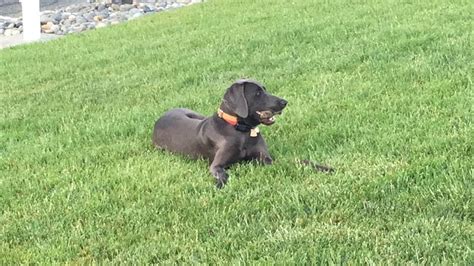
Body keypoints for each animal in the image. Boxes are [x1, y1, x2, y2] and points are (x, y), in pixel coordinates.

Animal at [152, 78, 286, 187]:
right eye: (258, 93)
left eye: (264, 89)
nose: (284, 102)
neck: (241, 130)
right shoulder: (216, 165)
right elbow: (223, 174)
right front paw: (219, 185)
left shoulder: (264, 157)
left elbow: (277, 163)